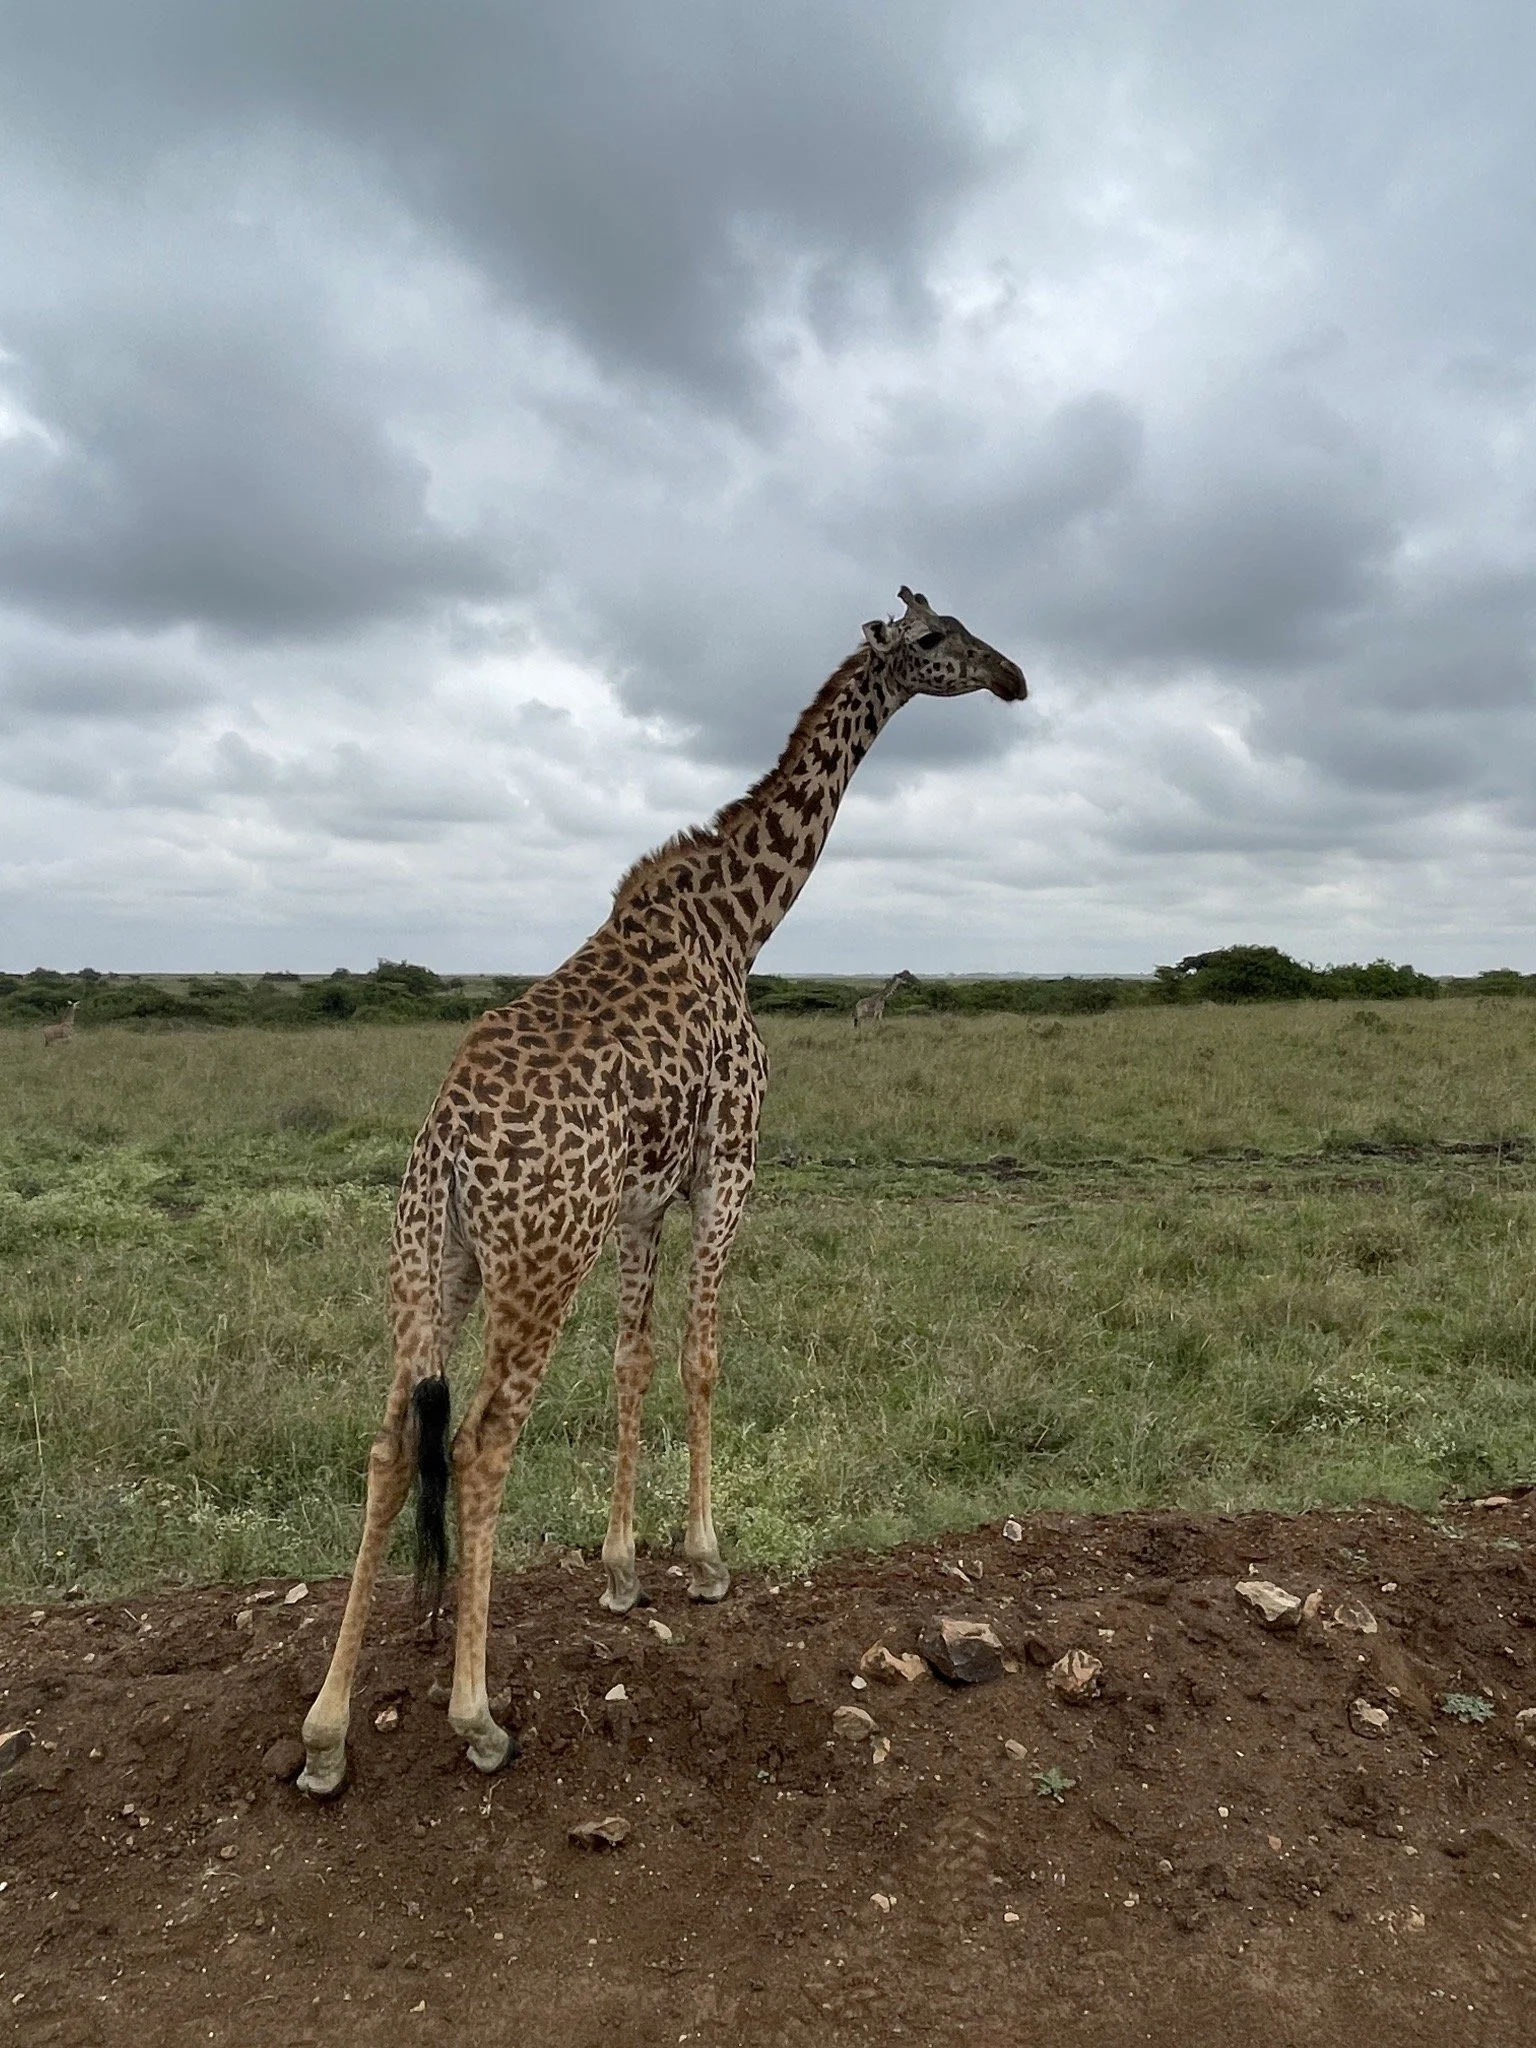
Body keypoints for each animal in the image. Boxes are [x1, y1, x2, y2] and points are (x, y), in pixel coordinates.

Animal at [297, 586, 1026, 1797]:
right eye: (935, 641)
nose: (1013, 677)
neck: (739, 925)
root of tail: (447, 1145)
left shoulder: (640, 1205)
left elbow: (632, 1363)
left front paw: (622, 1569)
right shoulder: (729, 1167)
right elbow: (700, 1356)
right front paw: (706, 1557)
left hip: (428, 1262)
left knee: (392, 1441)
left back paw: (323, 1734)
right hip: (540, 1261)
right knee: (480, 1443)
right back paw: (476, 1717)